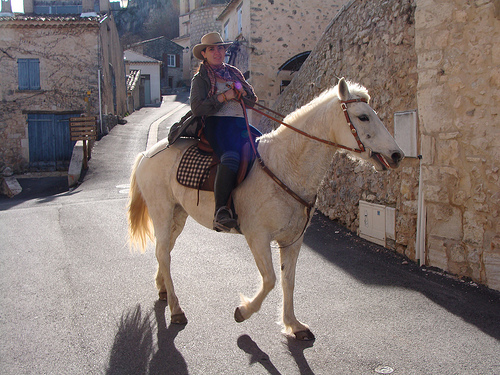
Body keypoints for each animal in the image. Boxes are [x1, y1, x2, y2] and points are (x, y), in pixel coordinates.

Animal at [127, 78, 404, 340]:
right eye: (363, 116)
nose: (397, 155)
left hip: (178, 215)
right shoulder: (258, 237)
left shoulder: (293, 241)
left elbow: (288, 281)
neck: (286, 166)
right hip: (161, 211)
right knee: (164, 254)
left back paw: (163, 289)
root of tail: (145, 154)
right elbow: (270, 280)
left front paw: (293, 325)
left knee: (163, 252)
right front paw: (244, 311)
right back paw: (176, 310)